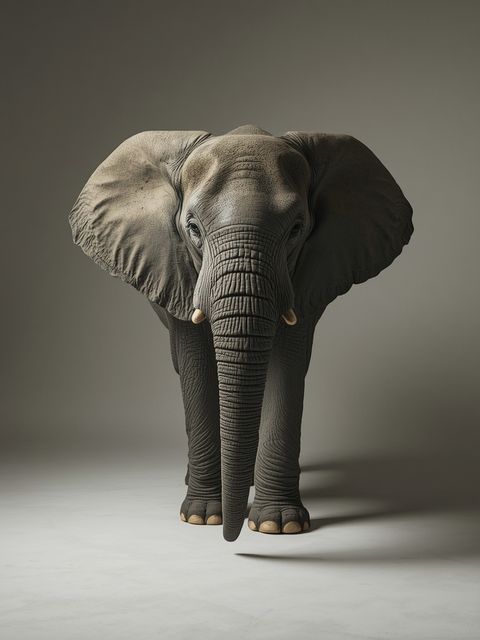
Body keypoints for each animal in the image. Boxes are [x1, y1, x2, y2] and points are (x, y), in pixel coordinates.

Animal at [69, 124, 413, 541]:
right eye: (193, 229)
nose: (230, 539)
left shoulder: (307, 271)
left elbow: (288, 365)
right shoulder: (178, 268)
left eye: (297, 229)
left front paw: (278, 524)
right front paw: (202, 517)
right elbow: (196, 367)